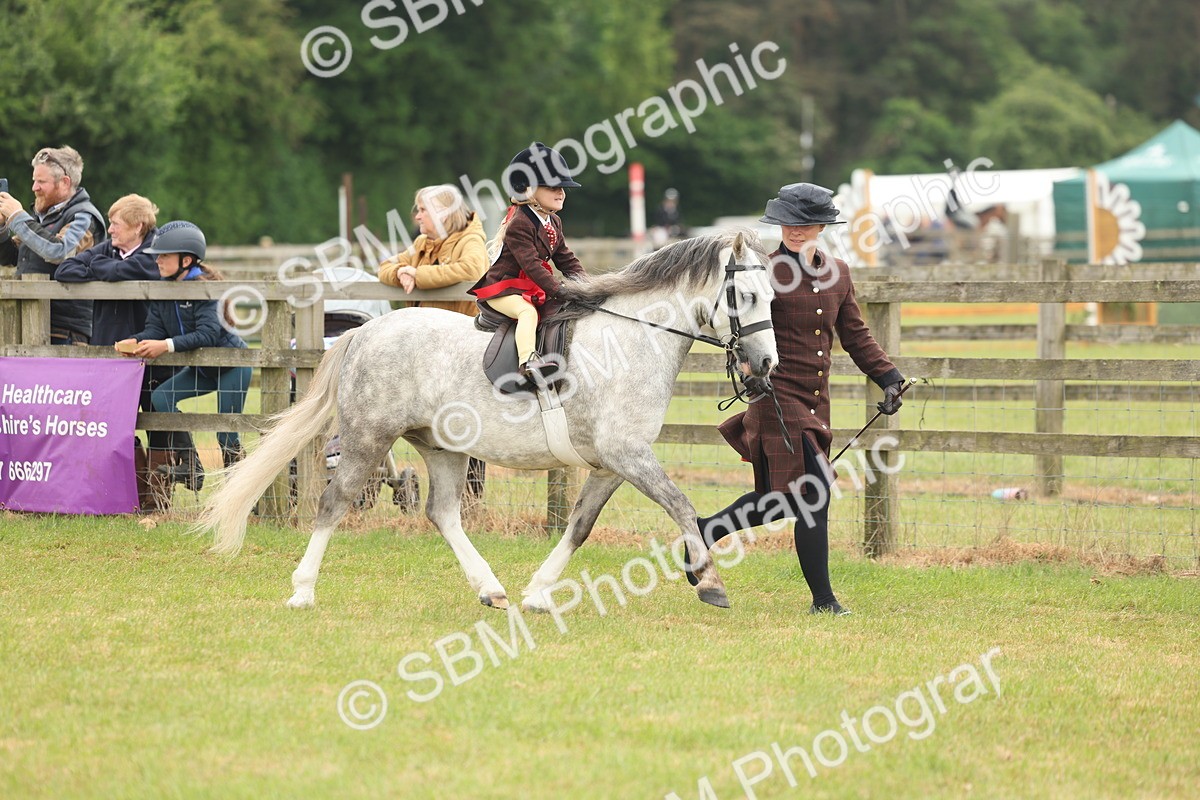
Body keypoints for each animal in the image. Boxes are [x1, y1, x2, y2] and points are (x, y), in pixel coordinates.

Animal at [197, 230, 778, 612]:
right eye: (747, 296)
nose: (766, 366)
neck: (634, 338)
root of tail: (365, 332)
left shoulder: (611, 465)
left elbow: (580, 526)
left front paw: (539, 592)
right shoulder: (628, 455)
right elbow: (681, 506)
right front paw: (710, 582)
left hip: (441, 447)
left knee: (442, 513)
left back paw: (491, 589)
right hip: (368, 436)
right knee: (334, 502)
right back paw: (303, 590)